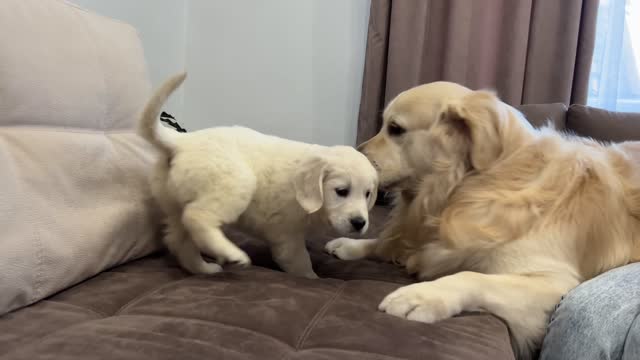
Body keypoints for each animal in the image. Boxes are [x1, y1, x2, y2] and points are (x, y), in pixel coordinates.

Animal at [138, 73, 378, 278]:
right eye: (341, 191)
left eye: (367, 194)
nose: (359, 223)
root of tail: (181, 141)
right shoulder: (287, 236)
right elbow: (301, 264)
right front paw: (314, 278)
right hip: (236, 183)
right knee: (197, 216)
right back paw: (231, 254)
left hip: (173, 202)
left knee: (179, 239)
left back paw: (204, 268)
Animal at [328, 81, 640, 358]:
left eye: (395, 129)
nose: (353, 155)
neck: (478, 183)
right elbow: (388, 241)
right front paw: (350, 245)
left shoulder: (554, 282)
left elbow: (470, 276)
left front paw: (420, 296)